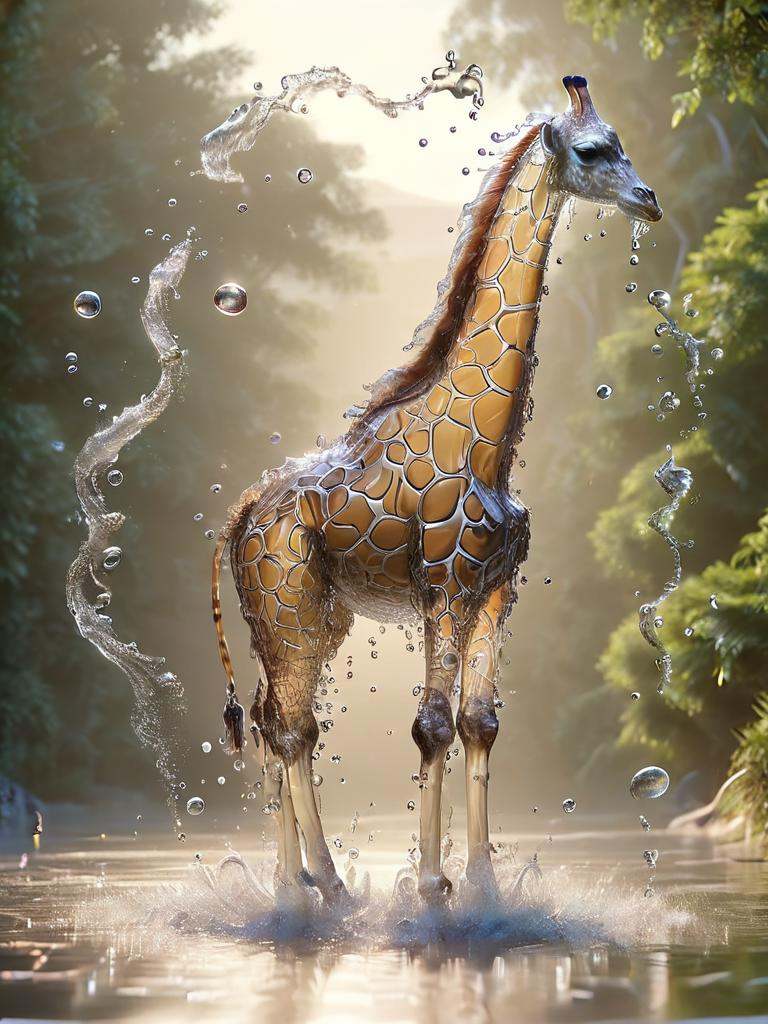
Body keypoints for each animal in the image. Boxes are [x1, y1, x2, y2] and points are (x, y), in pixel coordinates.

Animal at [212, 75, 662, 906]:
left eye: (622, 142)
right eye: (592, 151)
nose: (647, 199)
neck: (492, 447)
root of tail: (239, 515)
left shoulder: (496, 589)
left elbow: (481, 722)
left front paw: (483, 885)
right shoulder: (442, 585)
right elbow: (432, 725)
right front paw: (428, 886)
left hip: (308, 617)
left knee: (275, 721)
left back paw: (305, 886)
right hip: (286, 607)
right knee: (285, 724)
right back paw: (312, 888)